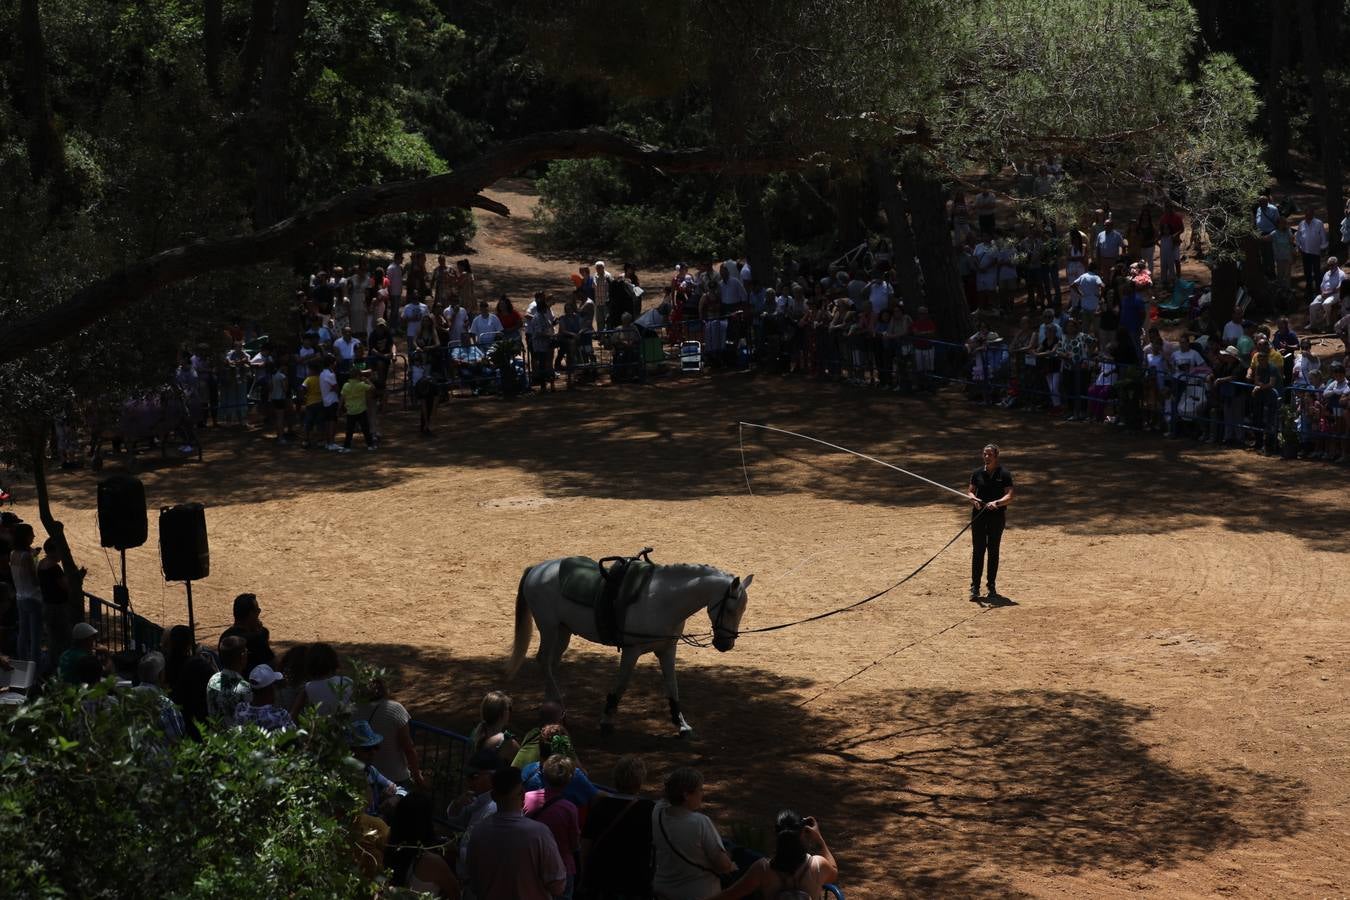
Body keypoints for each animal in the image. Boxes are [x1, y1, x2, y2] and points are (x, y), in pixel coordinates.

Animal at [507, 558, 756, 734]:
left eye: (743, 610)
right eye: (730, 609)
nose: (726, 644)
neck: (661, 600)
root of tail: (538, 569)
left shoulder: (667, 650)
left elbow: (672, 685)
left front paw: (681, 723)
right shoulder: (631, 651)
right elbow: (622, 684)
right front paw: (606, 719)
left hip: (563, 630)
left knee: (551, 663)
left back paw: (553, 705)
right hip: (548, 628)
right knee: (544, 660)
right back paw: (557, 704)